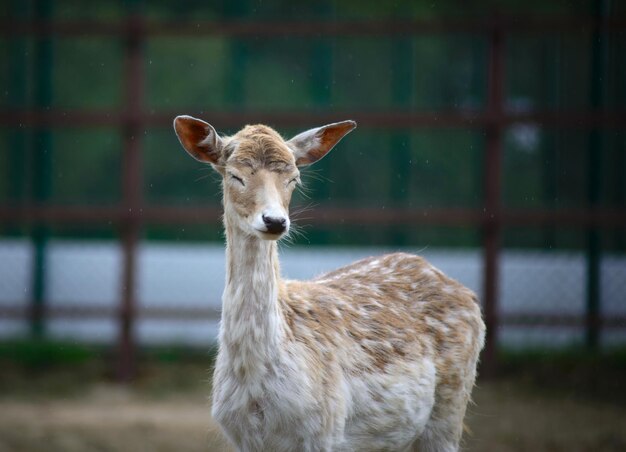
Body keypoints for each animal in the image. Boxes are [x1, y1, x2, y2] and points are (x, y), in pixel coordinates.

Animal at [173, 116, 486, 452]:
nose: (274, 221)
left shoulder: (323, 429)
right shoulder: (242, 438)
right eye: (235, 175)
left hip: (450, 408)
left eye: (294, 179)